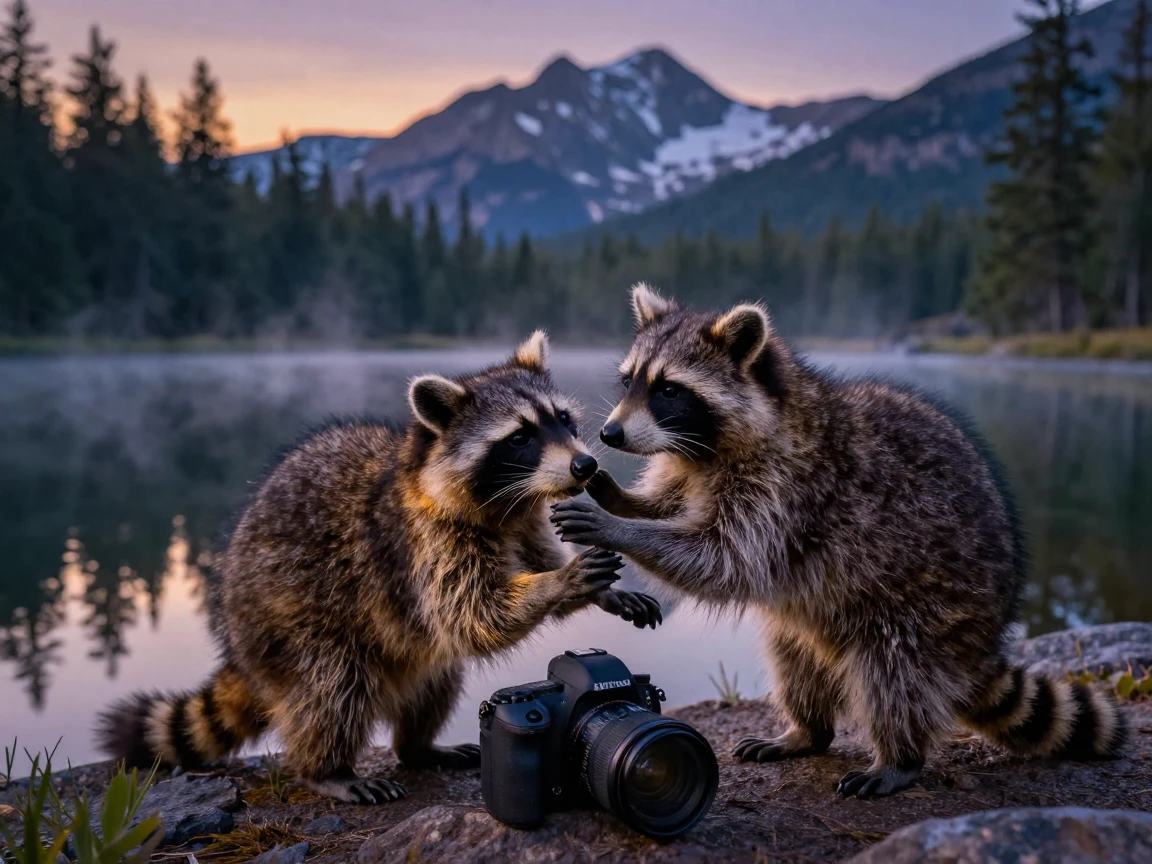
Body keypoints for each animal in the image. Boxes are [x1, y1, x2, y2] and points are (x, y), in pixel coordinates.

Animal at [97, 332, 661, 804]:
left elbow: (526, 567)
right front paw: (558, 583)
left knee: (435, 678)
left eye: (562, 419)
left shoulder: (524, 524)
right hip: (288, 623)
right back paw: (326, 769)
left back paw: (418, 746)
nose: (585, 466)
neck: (506, 504)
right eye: (519, 437)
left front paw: (592, 589)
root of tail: (238, 646)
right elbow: (474, 616)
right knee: (331, 687)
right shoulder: (424, 544)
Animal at [551, 284, 1125, 799]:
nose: (610, 435)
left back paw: (899, 757)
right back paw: (807, 730)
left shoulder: (788, 490)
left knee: (894, 675)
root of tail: (985, 639)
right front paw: (623, 498)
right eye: (629, 381)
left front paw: (622, 527)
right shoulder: (693, 468)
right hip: (814, 619)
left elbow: (720, 559)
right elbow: (675, 510)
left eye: (669, 389)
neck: (708, 448)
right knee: (793, 660)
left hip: (928, 610)